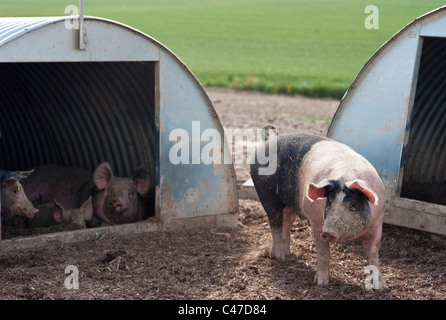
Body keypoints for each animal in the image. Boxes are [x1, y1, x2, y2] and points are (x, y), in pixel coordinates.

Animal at [251, 127, 386, 290]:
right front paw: (321, 284)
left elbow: (374, 255)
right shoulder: (316, 222)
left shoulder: (377, 224)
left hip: (289, 205)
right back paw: (281, 258)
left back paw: (289, 254)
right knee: (275, 223)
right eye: (329, 202)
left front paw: (381, 288)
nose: (328, 232)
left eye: (352, 204)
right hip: (266, 193)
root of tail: (267, 141)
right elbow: (323, 254)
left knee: (286, 224)